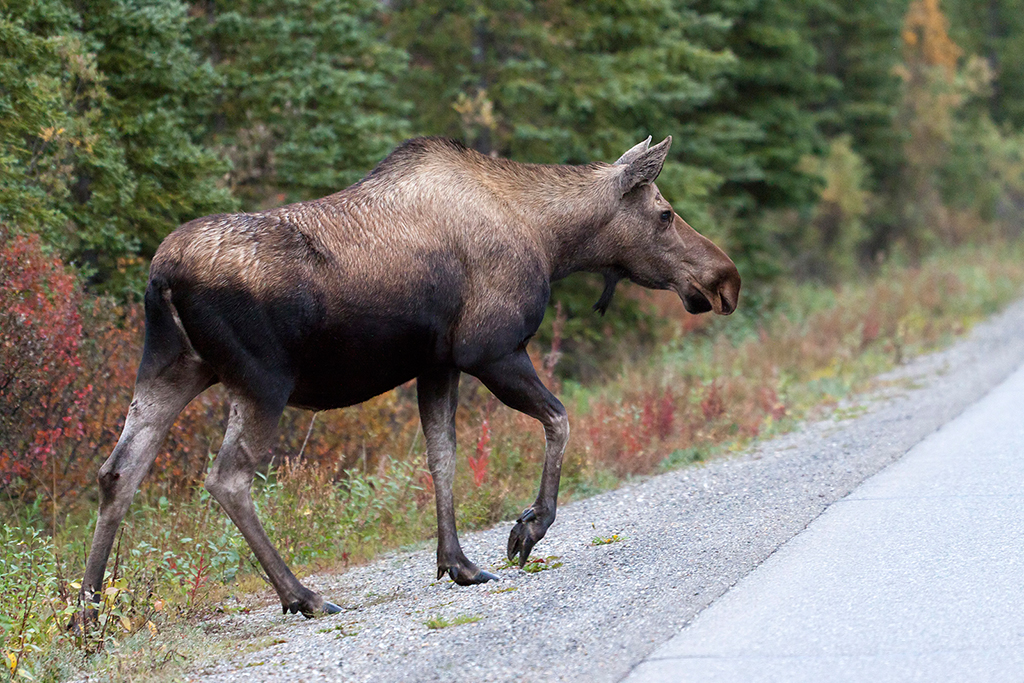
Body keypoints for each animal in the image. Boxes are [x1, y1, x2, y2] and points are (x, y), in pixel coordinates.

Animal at [77, 135, 737, 618]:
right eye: (665, 213)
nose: (724, 279)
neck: (553, 243)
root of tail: (162, 277)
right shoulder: (491, 350)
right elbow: (560, 419)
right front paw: (527, 529)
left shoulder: (437, 364)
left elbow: (441, 456)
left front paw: (458, 562)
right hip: (261, 381)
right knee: (227, 478)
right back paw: (303, 595)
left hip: (170, 371)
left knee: (118, 473)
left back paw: (87, 611)